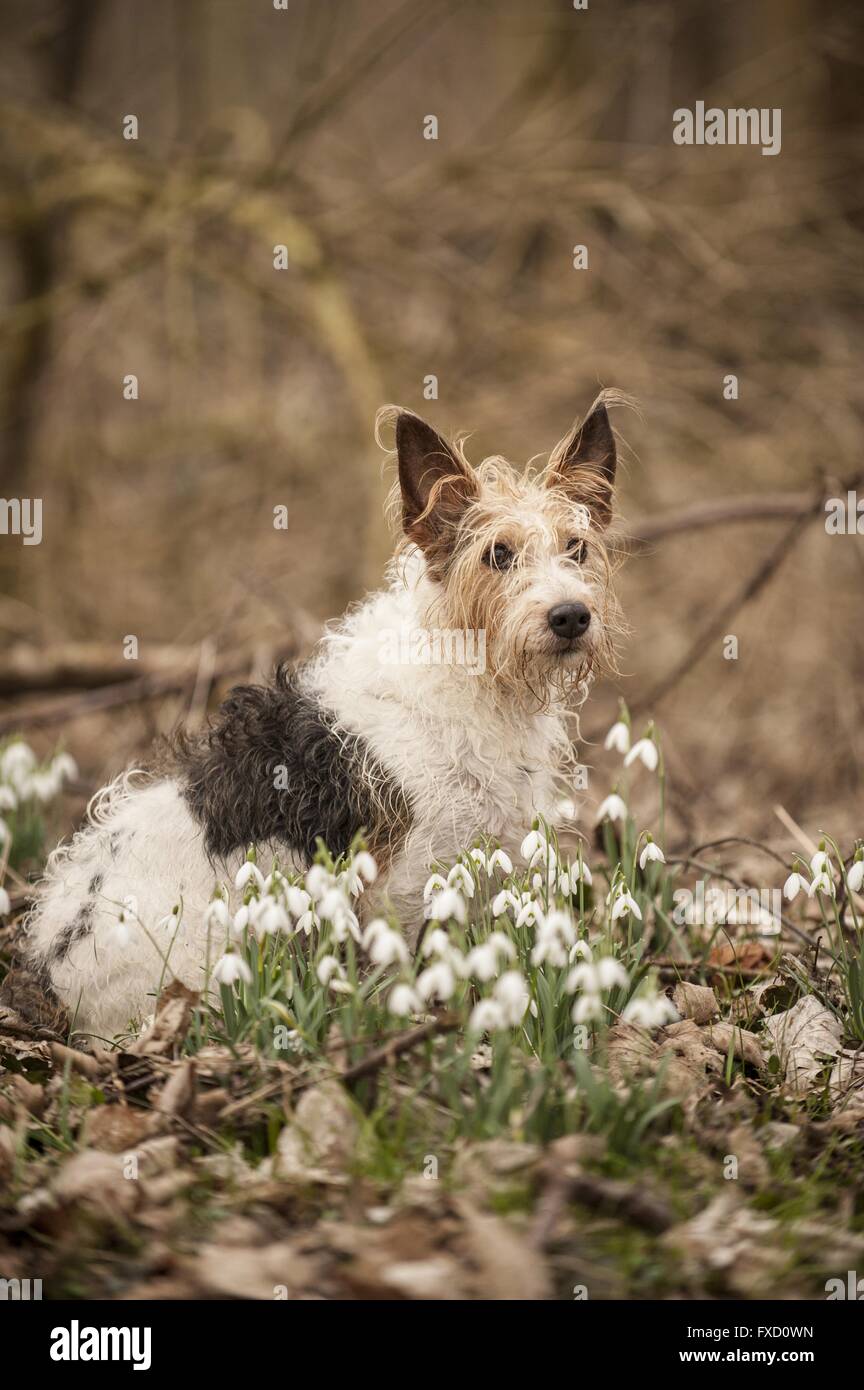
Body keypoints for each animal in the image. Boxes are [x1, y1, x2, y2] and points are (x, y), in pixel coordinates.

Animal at [25, 391, 622, 1034]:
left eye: (576, 547)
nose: (571, 616)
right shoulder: (405, 881)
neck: (479, 676)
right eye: (498, 554)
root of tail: (51, 969)